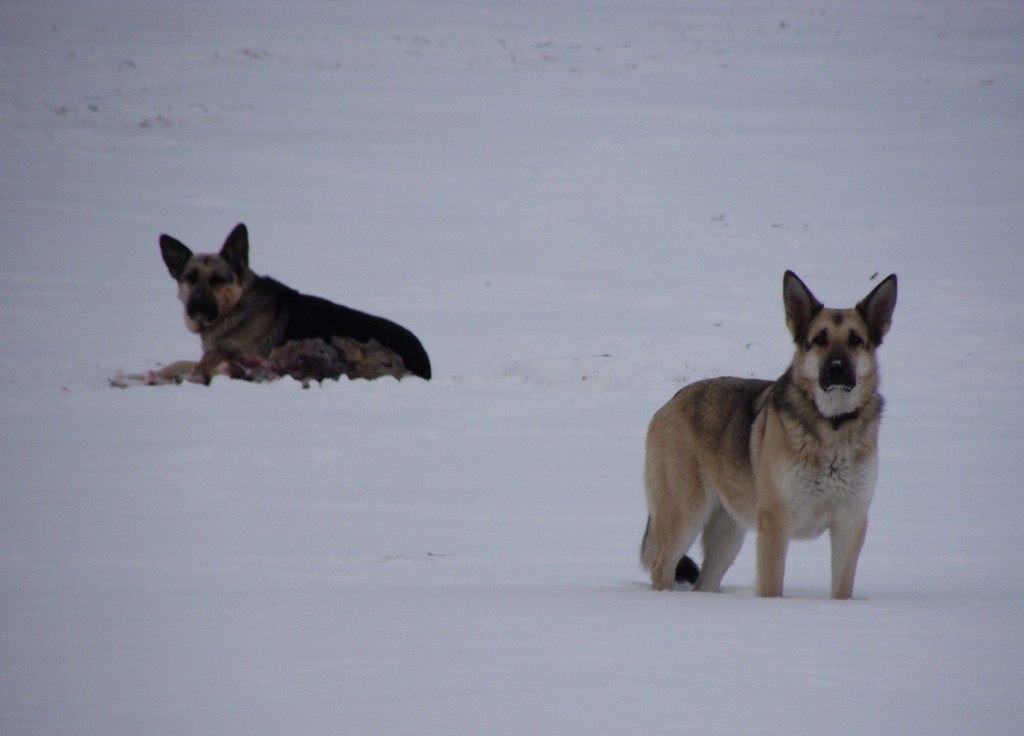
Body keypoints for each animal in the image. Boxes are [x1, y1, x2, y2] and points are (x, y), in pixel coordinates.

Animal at [638, 270, 897, 597]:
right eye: (820, 339)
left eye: (855, 340)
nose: (837, 368)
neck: (831, 424)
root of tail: (671, 401)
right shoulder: (775, 524)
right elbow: (772, 587)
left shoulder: (850, 524)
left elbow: (842, 590)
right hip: (684, 515)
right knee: (662, 567)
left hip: (728, 533)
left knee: (705, 583)